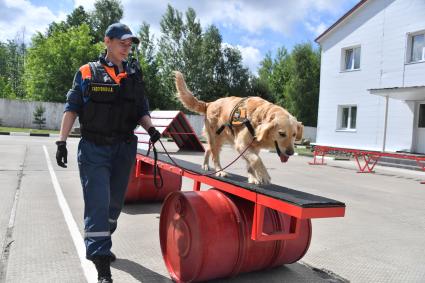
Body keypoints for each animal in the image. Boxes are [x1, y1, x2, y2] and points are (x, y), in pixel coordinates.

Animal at [172, 72, 302, 185]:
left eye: (294, 135)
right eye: (282, 133)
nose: (291, 152)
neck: (260, 117)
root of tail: (209, 103)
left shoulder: (253, 147)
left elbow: (251, 162)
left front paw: (253, 178)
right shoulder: (241, 144)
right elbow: (256, 160)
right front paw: (264, 175)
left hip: (220, 138)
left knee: (208, 149)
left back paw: (205, 165)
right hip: (215, 138)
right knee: (215, 156)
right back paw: (220, 171)